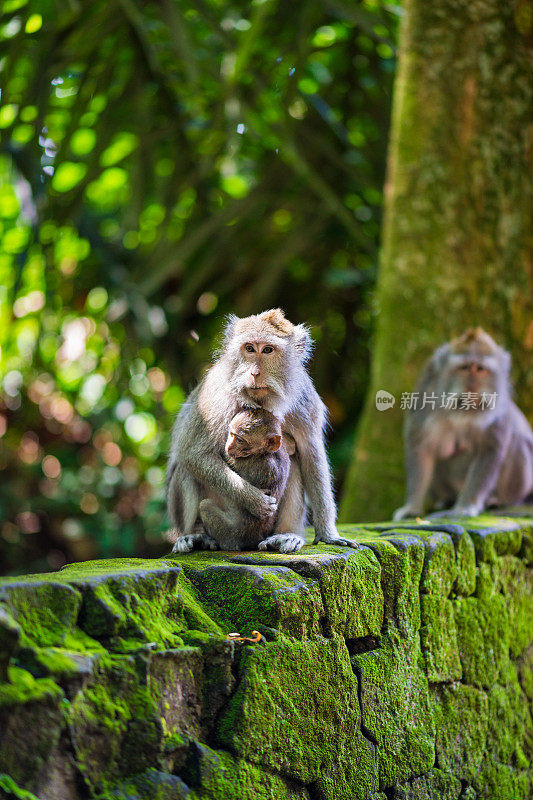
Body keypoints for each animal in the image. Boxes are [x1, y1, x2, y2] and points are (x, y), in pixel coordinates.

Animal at [198, 410, 302, 552]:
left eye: (240, 440)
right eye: (231, 434)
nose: (229, 446)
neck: (265, 453)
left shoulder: (247, 462)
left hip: (230, 534)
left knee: (205, 505)